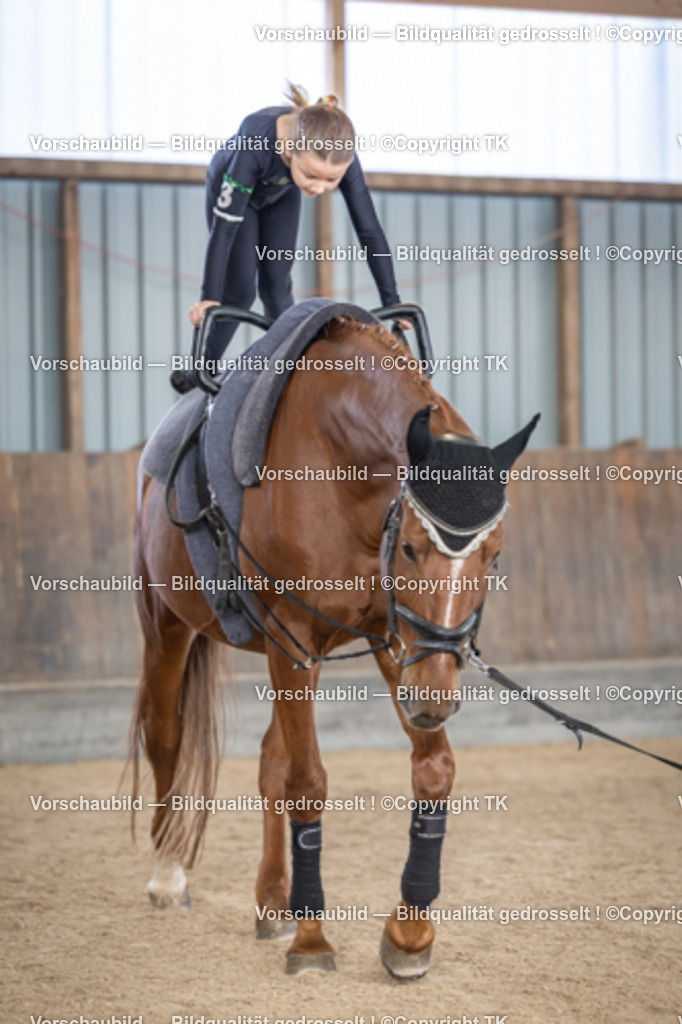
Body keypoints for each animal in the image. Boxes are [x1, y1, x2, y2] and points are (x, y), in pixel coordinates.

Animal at [130, 311, 538, 979]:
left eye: (495, 556)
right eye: (410, 549)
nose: (434, 701)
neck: (343, 468)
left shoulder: (396, 640)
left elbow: (433, 770)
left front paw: (409, 935)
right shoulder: (295, 637)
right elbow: (309, 781)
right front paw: (312, 940)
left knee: (269, 759)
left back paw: (273, 900)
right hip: (167, 625)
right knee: (166, 736)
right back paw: (168, 876)